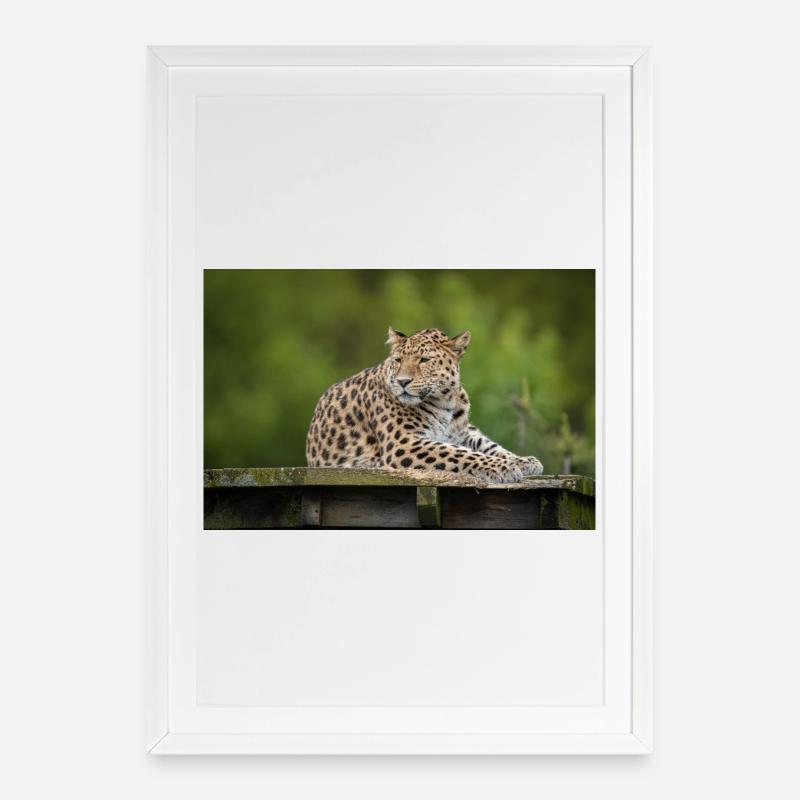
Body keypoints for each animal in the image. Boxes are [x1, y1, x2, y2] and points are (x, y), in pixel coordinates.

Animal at [305, 327, 544, 483]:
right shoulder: (403, 443)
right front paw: (506, 467)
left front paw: (523, 461)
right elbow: (460, 453)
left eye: (424, 360)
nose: (402, 381)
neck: (446, 401)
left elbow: (487, 446)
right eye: (398, 360)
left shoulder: (462, 432)